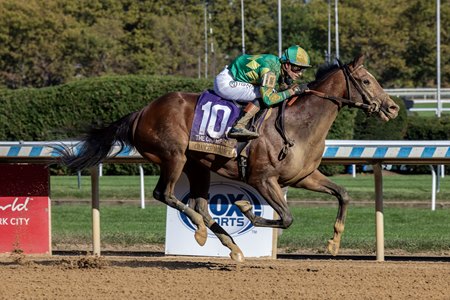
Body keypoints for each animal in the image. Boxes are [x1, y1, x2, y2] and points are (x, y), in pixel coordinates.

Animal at [59, 55, 398, 262]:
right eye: (366, 81)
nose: (393, 108)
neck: (299, 124)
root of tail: (141, 111)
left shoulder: (303, 177)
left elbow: (342, 194)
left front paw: (334, 243)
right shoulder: (263, 179)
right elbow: (285, 217)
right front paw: (245, 207)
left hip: (197, 166)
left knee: (200, 205)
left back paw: (231, 246)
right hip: (173, 157)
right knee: (164, 194)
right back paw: (200, 230)